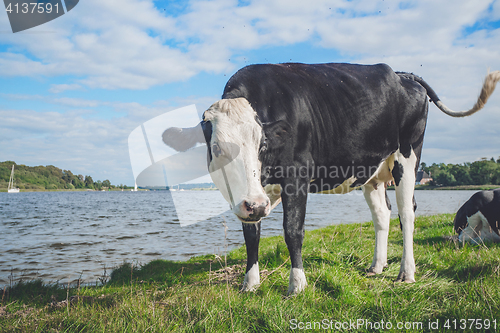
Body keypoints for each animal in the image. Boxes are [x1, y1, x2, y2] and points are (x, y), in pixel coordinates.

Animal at [163, 62, 500, 294]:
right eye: (217, 149)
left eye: (262, 145)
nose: (256, 205)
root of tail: (401, 73)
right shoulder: (249, 197)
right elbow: (251, 235)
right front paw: (250, 283)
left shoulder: (297, 177)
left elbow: (292, 231)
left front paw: (297, 285)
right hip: (372, 172)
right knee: (382, 214)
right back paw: (377, 266)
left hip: (408, 154)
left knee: (407, 213)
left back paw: (406, 273)